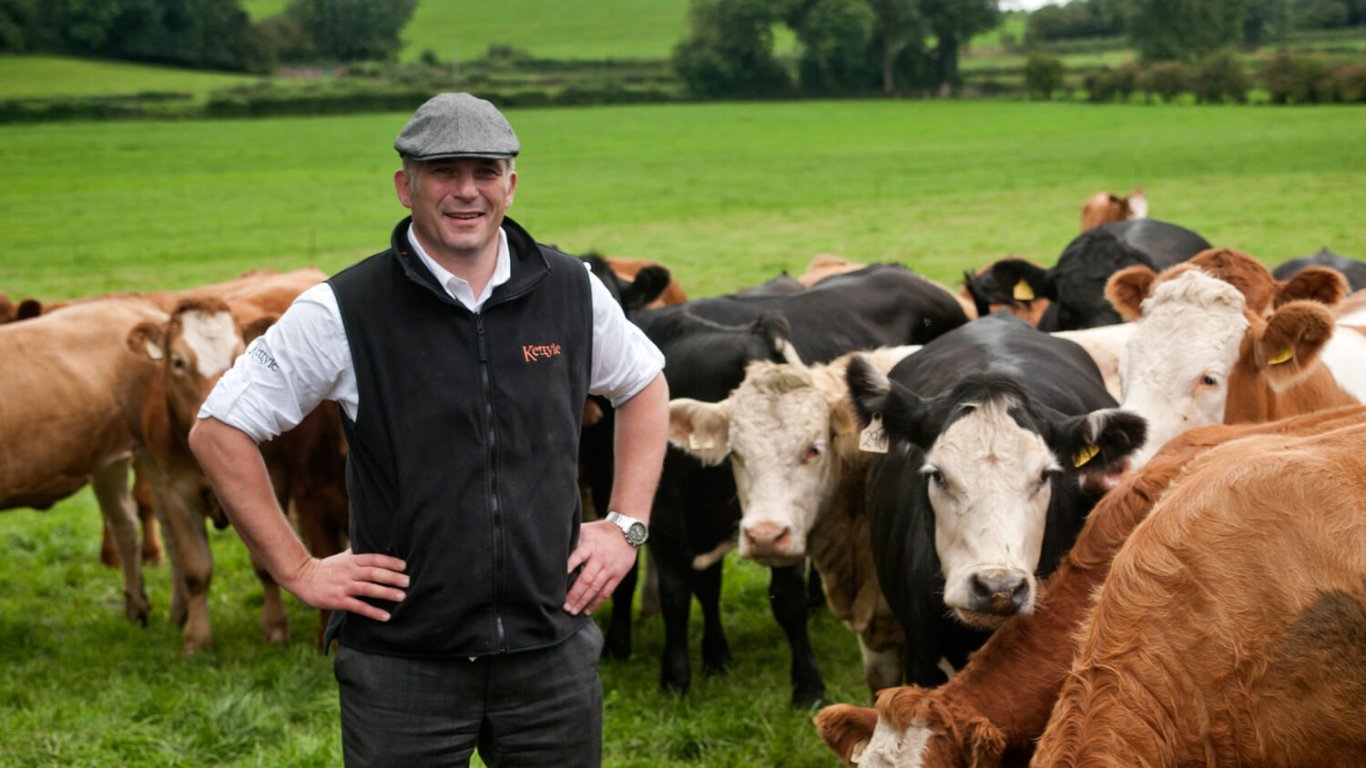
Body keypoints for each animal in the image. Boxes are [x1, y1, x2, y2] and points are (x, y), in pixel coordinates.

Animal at [631, 265, 967, 705]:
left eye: (814, 450)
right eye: (735, 453)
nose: (763, 536)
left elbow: (786, 602)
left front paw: (807, 686)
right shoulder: (662, 525)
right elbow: (678, 598)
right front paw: (678, 678)